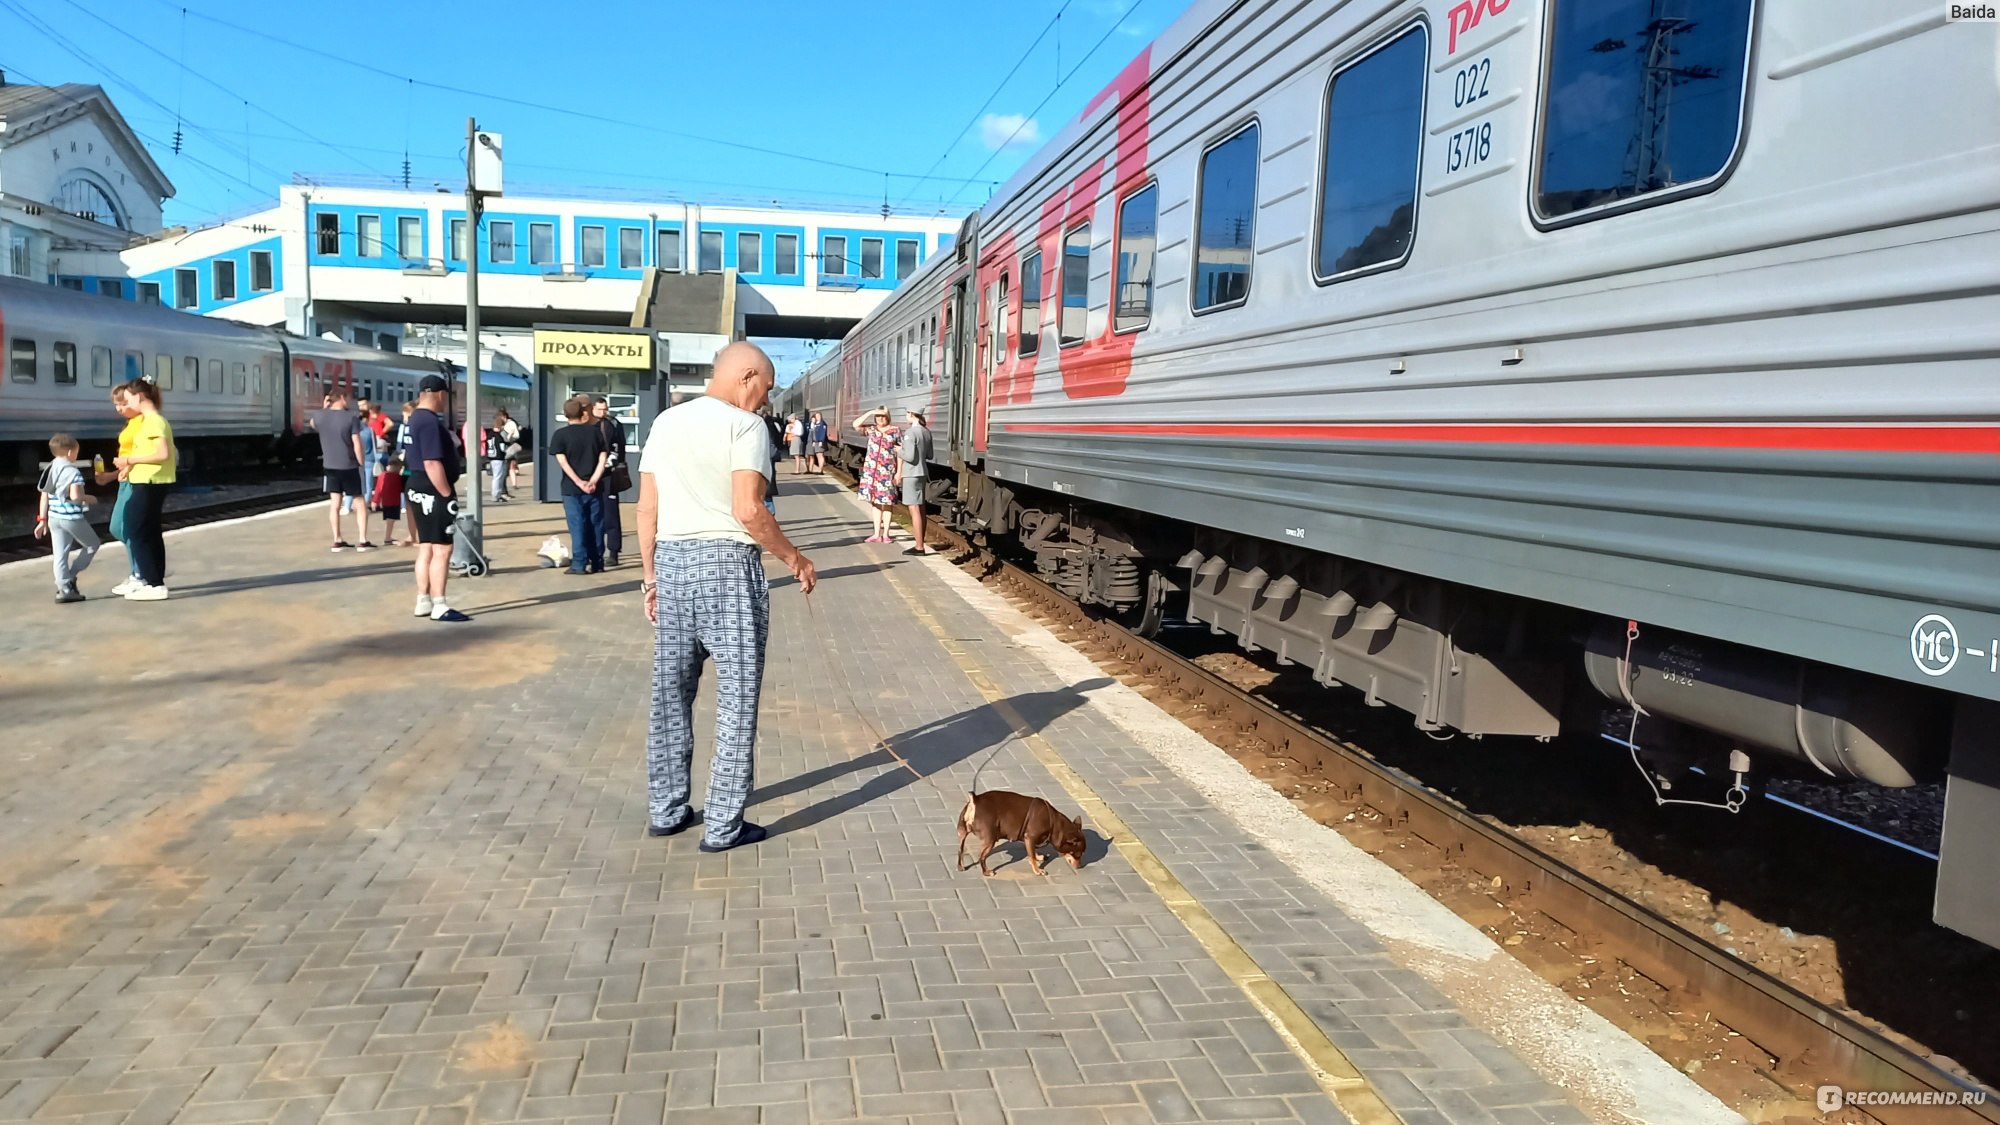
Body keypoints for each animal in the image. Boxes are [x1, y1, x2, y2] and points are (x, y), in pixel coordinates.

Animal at [956, 784, 1088, 872]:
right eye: (1077, 854)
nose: (1080, 866)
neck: (1054, 824)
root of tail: (975, 800)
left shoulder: (1029, 840)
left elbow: (1032, 853)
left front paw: (1038, 857)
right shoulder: (1030, 837)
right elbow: (1032, 856)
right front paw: (1037, 870)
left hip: (962, 833)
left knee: (960, 850)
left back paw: (961, 866)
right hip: (990, 840)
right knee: (982, 857)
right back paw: (987, 872)